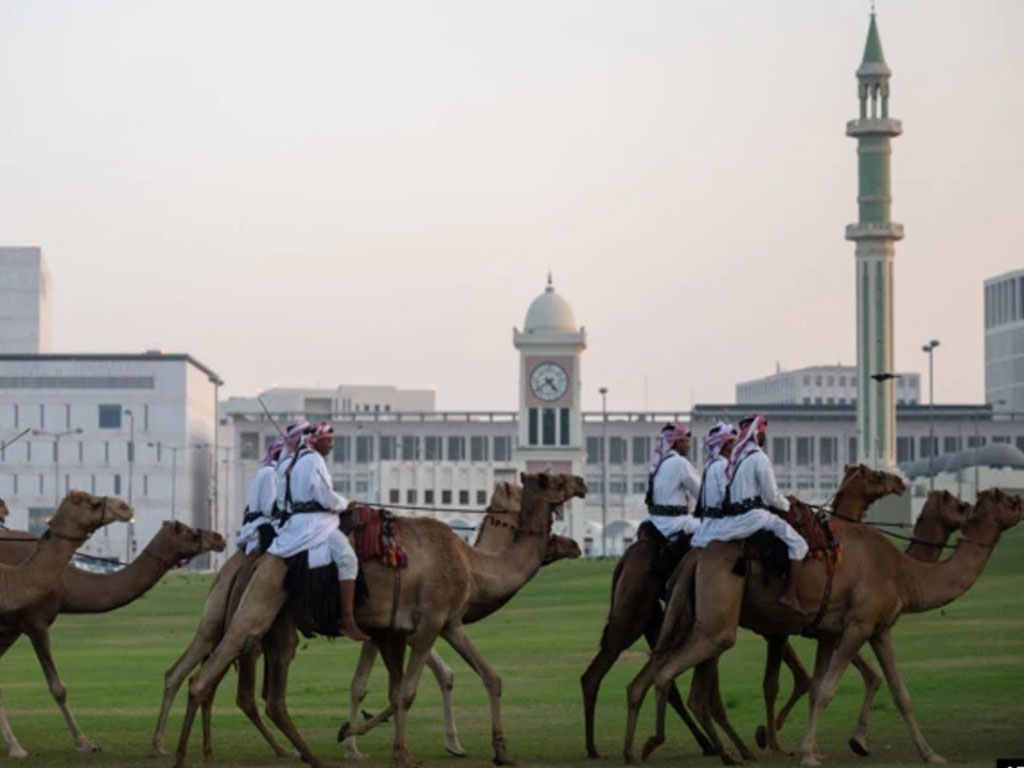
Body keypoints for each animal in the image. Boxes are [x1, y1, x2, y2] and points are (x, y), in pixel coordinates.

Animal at [0, 518, 224, 757]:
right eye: (190, 532)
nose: (219, 538)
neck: (66, 584)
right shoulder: (36, 621)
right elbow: (58, 688)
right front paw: (84, 742)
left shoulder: (12, 627)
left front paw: (14, 746)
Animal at [171, 473, 581, 768]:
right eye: (550, 479)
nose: (581, 483)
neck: (472, 565)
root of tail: (255, 556)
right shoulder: (428, 624)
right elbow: (405, 690)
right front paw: (392, 750)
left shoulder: (426, 626)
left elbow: (482, 677)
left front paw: (500, 751)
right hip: (257, 610)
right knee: (206, 678)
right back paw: (184, 754)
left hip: (272, 623)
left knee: (256, 690)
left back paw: (303, 755)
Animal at [585, 460, 905, 761]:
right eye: (876, 475)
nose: (899, 482)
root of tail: (625, 559)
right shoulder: (786, 628)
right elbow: (782, 682)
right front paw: (771, 738)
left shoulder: (787, 629)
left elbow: (802, 678)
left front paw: (771, 735)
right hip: (637, 615)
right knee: (614, 671)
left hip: (661, 621)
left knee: (662, 677)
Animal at [618, 489, 1019, 765]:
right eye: (1000, 499)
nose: (1020, 499)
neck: (903, 573)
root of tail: (697, 555)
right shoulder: (858, 625)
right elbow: (827, 689)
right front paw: (816, 752)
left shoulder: (864, 630)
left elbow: (893, 693)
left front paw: (929, 754)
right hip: (716, 621)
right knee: (671, 673)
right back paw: (667, 743)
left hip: (692, 616)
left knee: (664, 676)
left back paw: (654, 750)